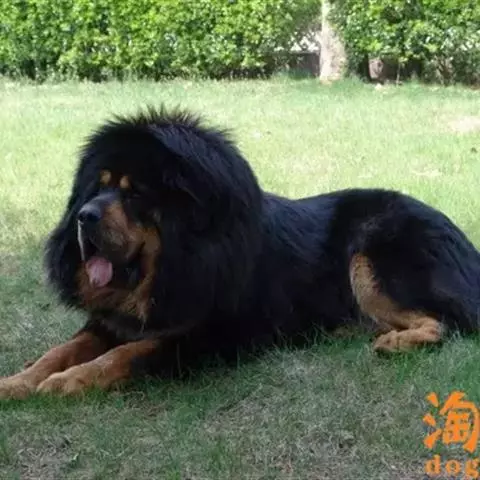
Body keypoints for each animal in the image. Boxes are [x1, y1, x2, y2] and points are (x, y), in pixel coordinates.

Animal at [1, 107, 479, 399]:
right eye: (96, 189)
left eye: (134, 194)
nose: (84, 217)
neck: (177, 262)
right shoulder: (111, 320)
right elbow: (61, 350)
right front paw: (18, 380)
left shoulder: (207, 336)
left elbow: (128, 354)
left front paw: (67, 382)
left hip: (369, 259)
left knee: (447, 322)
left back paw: (395, 340)